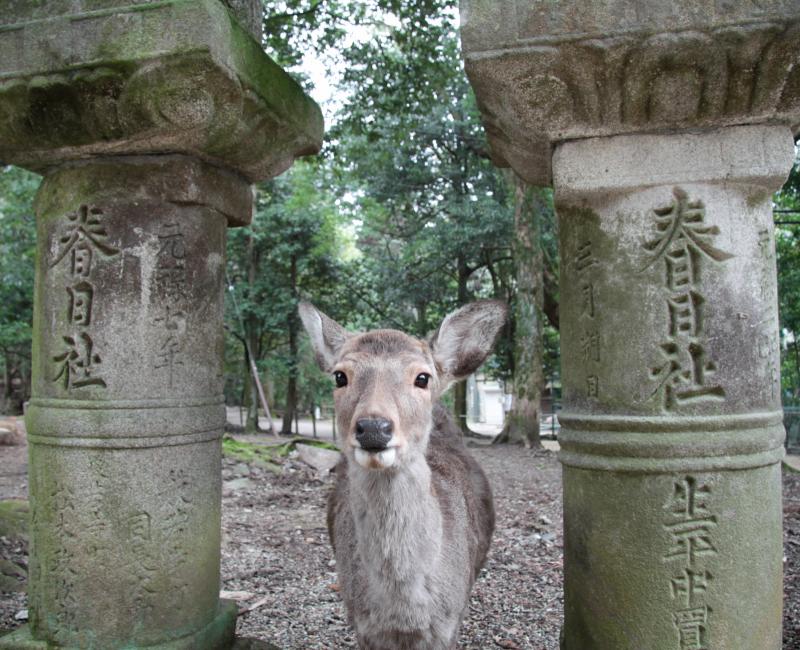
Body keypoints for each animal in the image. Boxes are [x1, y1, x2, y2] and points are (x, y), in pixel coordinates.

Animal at [299, 300, 507, 650]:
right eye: (340, 376)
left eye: (422, 377)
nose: (373, 428)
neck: (404, 615)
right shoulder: (361, 623)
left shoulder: (450, 623)